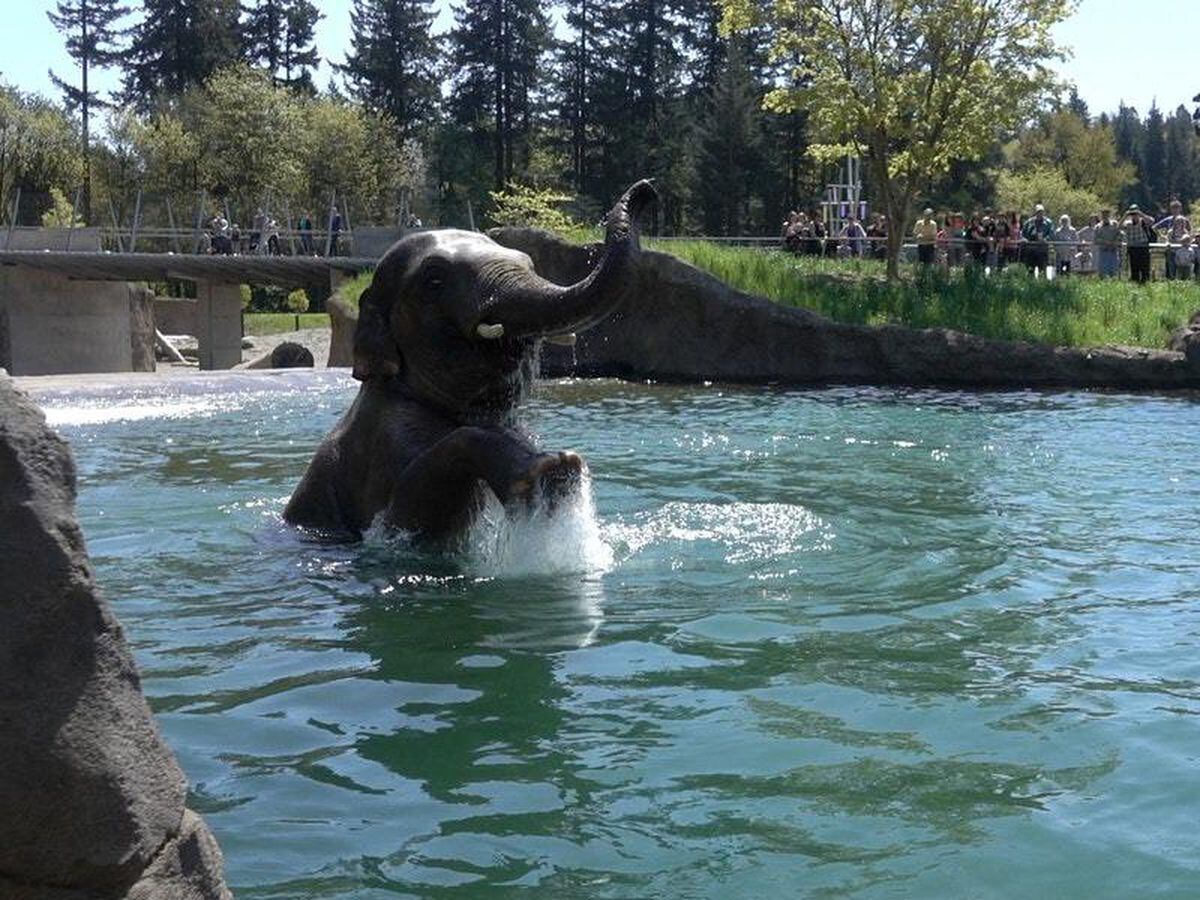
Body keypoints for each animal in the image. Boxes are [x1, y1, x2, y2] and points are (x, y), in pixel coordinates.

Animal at [280, 180, 657, 540]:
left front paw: (557, 465)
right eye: (434, 279)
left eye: (530, 264)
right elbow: (400, 518)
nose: (647, 191)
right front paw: (550, 470)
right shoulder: (384, 442)